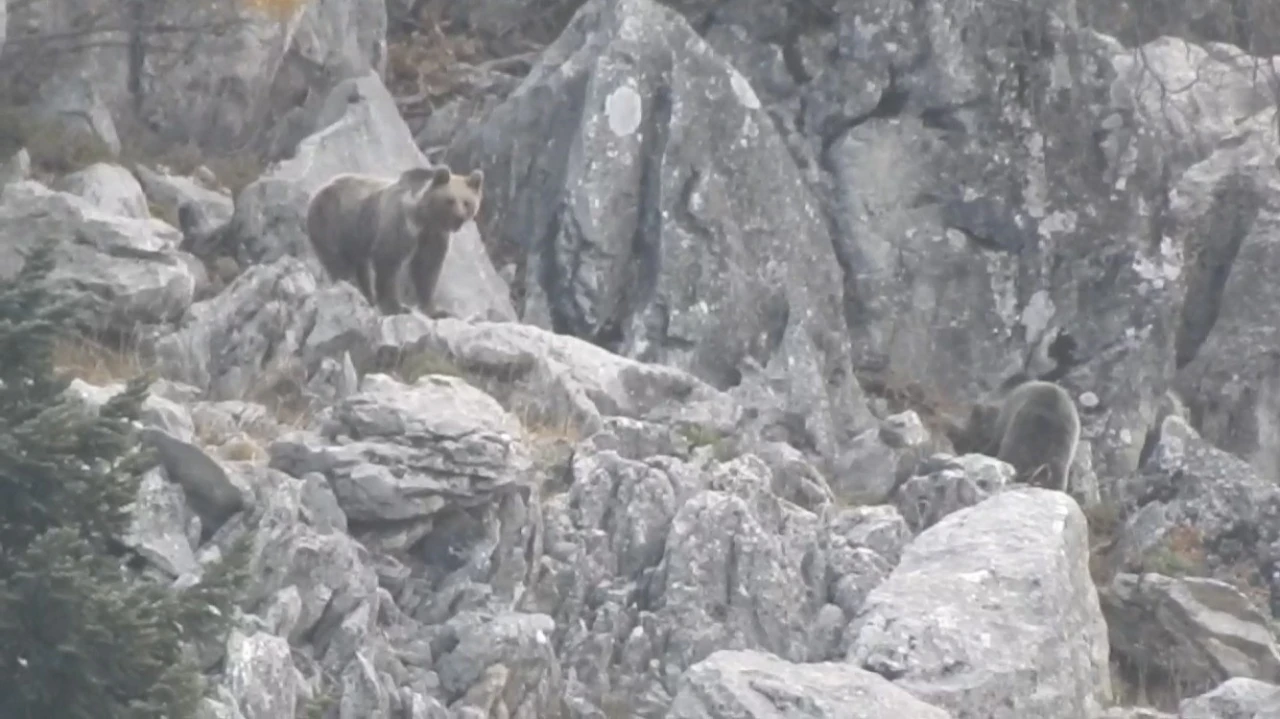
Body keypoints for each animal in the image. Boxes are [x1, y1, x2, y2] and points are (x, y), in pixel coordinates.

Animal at [304, 166, 483, 314]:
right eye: (450, 200)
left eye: (467, 202)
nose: (459, 218)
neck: (424, 218)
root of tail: (318, 190)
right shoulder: (400, 224)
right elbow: (388, 260)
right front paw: (396, 306)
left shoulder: (434, 236)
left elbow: (427, 268)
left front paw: (435, 309)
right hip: (332, 222)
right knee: (338, 262)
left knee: (361, 268)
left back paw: (367, 296)